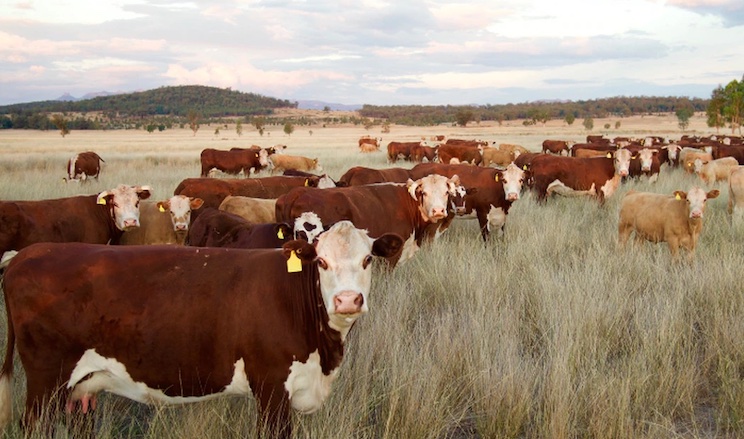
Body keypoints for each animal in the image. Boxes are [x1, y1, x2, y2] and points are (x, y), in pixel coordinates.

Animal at [0, 221, 404, 438]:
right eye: (321, 261)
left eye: (368, 259)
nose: (348, 300)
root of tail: (29, 253)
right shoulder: (272, 387)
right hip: (45, 381)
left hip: (77, 387)